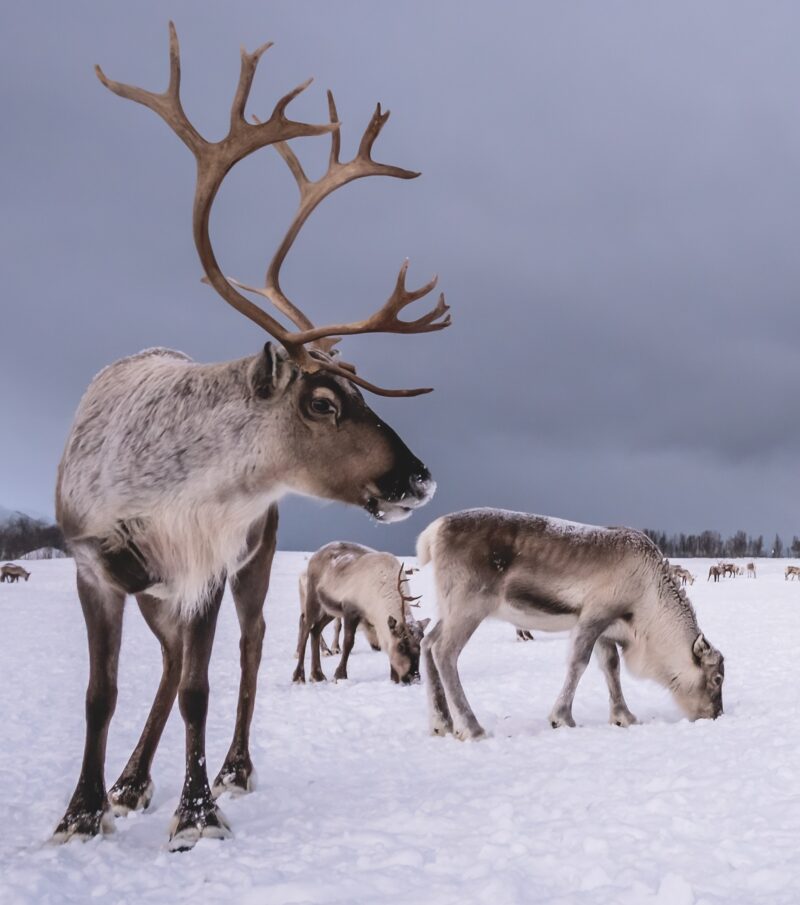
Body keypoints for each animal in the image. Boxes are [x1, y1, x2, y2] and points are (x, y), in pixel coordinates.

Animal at [294, 543, 430, 684]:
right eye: (401, 646)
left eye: (419, 647)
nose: (414, 677)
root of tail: (317, 553)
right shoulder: (350, 610)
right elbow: (348, 642)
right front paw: (340, 675)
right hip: (313, 599)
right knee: (305, 627)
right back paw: (299, 675)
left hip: (329, 610)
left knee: (315, 630)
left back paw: (317, 675)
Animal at [418, 509, 724, 741]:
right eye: (717, 679)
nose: (716, 714)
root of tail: (433, 532)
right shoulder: (594, 615)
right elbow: (579, 662)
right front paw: (562, 718)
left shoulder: (607, 629)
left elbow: (611, 667)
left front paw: (623, 716)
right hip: (469, 605)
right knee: (445, 651)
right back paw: (472, 727)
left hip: (449, 609)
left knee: (427, 641)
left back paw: (441, 723)